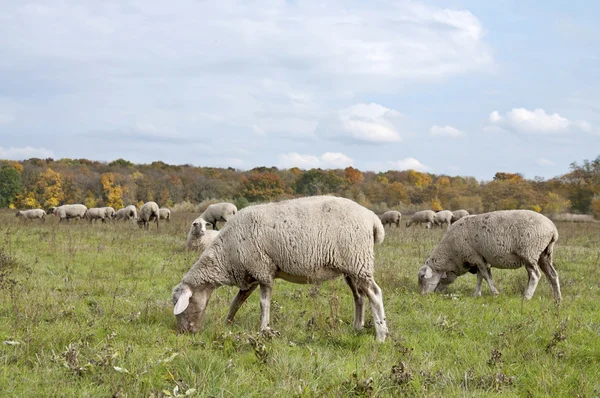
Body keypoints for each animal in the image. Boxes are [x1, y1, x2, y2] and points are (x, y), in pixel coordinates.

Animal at [171, 196, 390, 342]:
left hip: (358, 260)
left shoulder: (263, 270)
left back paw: (381, 335)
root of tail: (372, 219)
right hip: (351, 268)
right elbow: (236, 302)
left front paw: (263, 329)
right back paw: (357, 328)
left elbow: (263, 304)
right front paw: (228, 323)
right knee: (359, 296)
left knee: (374, 293)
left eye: (180, 304)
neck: (226, 254)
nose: (184, 333)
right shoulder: (250, 275)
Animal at [418, 210, 564, 300]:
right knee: (552, 275)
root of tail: (553, 230)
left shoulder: (475, 256)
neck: (451, 254)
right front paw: (476, 294)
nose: (422, 295)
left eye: (422, 278)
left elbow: (486, 276)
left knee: (535, 275)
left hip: (529, 252)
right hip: (545, 254)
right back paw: (557, 298)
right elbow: (480, 277)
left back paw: (526, 297)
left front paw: (495, 293)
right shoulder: (479, 258)